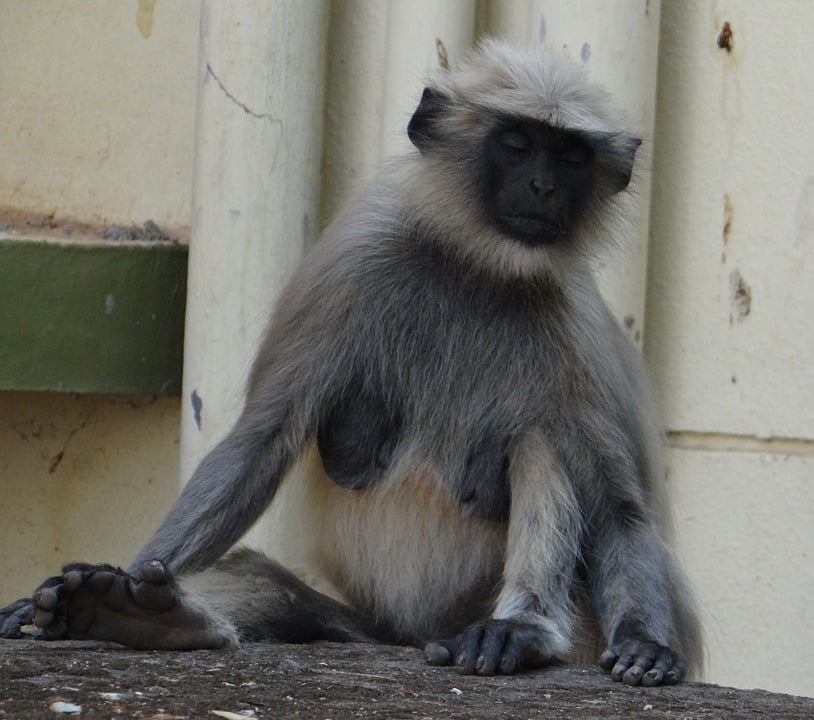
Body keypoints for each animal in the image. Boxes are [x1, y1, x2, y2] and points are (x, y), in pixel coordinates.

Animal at [0, 39, 701, 686]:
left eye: (573, 157)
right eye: (518, 144)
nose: (543, 186)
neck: (478, 268)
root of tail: (416, 634)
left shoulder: (579, 334)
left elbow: (620, 511)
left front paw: (643, 640)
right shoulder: (349, 266)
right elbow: (256, 445)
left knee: (542, 441)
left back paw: (520, 631)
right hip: (369, 627)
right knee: (266, 583)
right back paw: (143, 616)